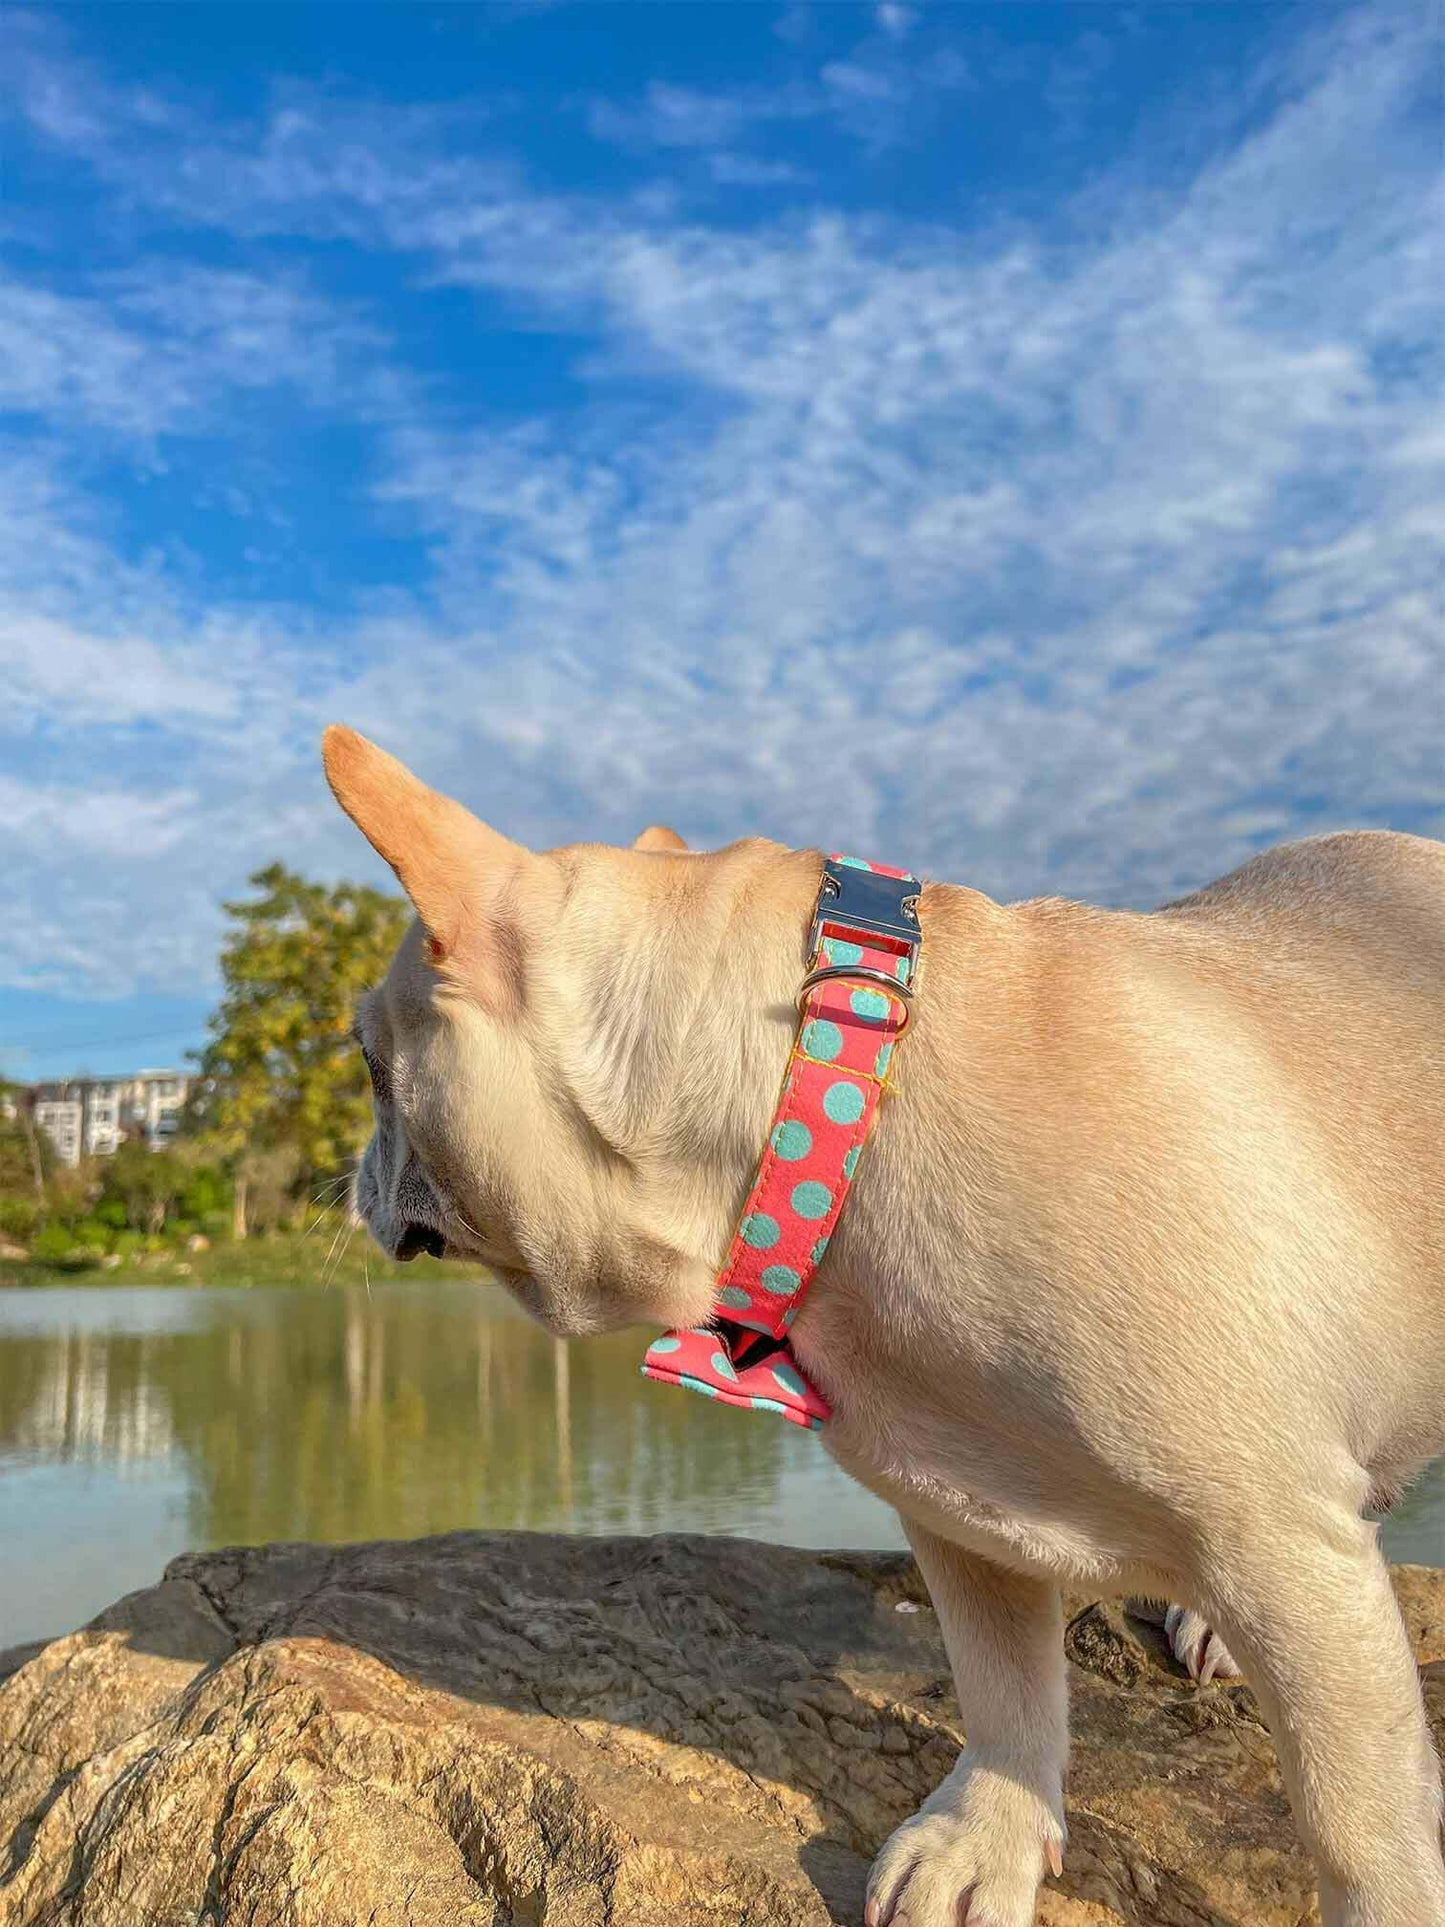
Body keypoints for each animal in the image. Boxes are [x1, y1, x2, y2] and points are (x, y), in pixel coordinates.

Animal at [321, 728, 1441, 1927]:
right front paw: (982, 1839)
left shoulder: (1282, 1549)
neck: (830, 1098)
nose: (356, 1170)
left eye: (371, 1067)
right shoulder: (961, 1502)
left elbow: (1355, 1816)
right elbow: (1003, 1685)